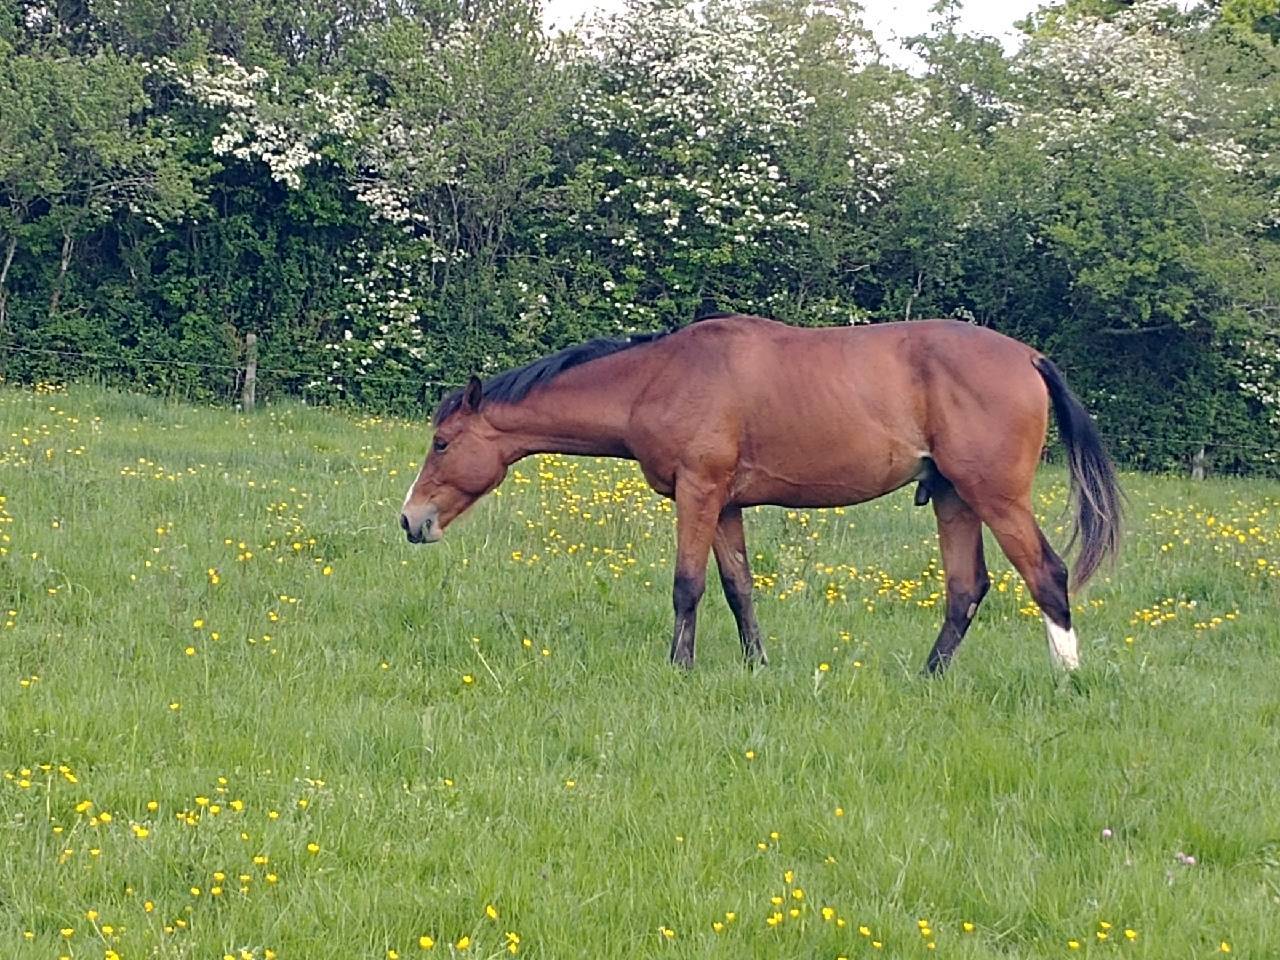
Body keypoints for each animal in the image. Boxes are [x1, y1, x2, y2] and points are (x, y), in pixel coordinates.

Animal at [400, 314, 1122, 674]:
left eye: (442, 443)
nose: (411, 520)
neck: (660, 376)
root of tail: (1028, 357)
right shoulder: (726, 505)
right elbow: (738, 588)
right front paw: (757, 664)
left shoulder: (698, 493)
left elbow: (687, 585)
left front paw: (680, 668)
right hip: (953, 499)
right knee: (966, 590)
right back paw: (928, 677)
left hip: (995, 498)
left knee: (1046, 576)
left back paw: (1068, 676)